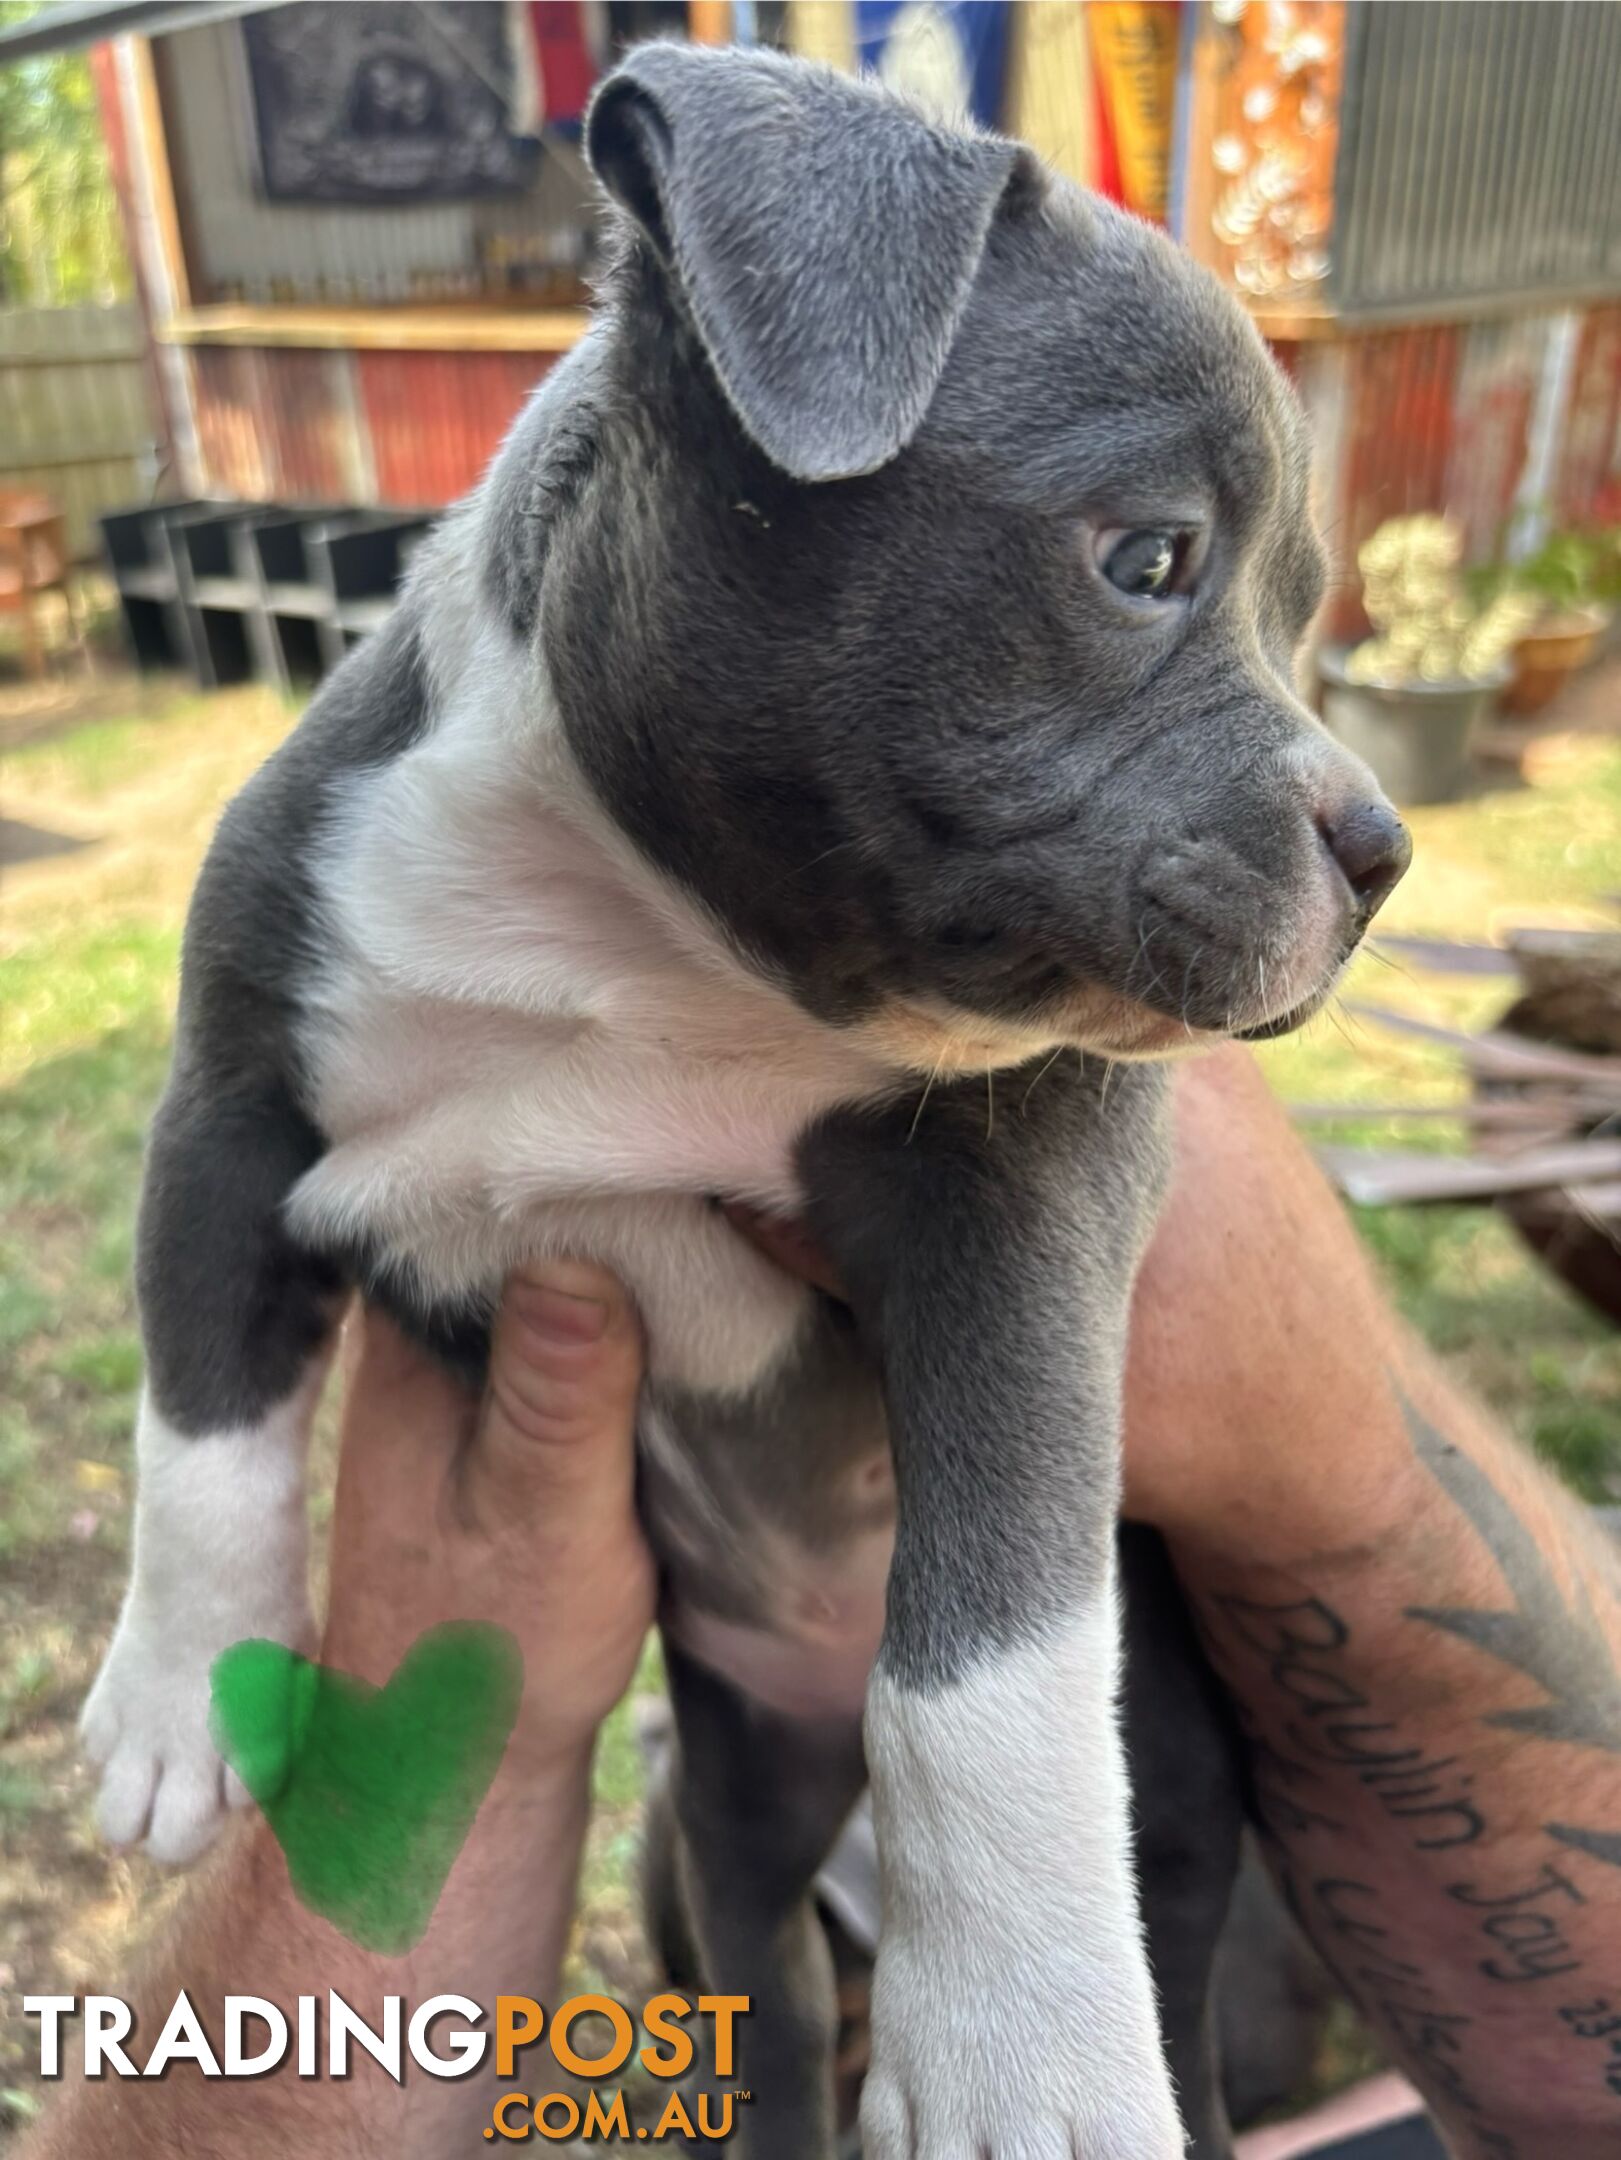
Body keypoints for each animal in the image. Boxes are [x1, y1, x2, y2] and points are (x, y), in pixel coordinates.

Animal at [85, 46, 1409, 2160]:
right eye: (1148, 560)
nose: (1384, 848)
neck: (641, 937)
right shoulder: (231, 1102)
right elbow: (204, 1414)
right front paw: (178, 1702)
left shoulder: (1027, 1202)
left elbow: (990, 1646)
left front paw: (1024, 2047)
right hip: (725, 1792)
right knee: (771, 1984)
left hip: (1183, 1781)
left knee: (1171, 1938)